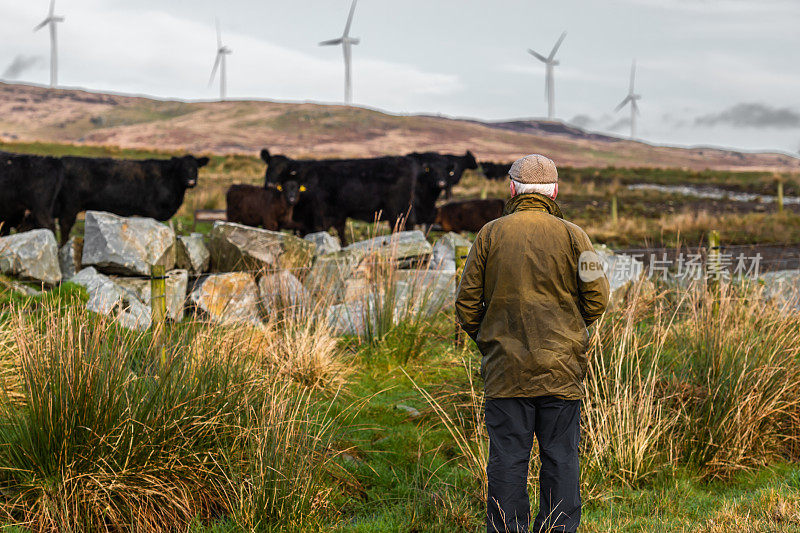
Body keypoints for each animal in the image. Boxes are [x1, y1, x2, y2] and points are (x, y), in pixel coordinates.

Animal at [54, 155, 208, 244]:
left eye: (196, 168)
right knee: (65, 225)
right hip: (70, 206)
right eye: (181, 167)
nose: (191, 181)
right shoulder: (152, 211)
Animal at [260, 148, 418, 243]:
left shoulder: (319, 215)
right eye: (269, 168)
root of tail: (406, 161)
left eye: (285, 171)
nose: (270, 185)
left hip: (398, 208)